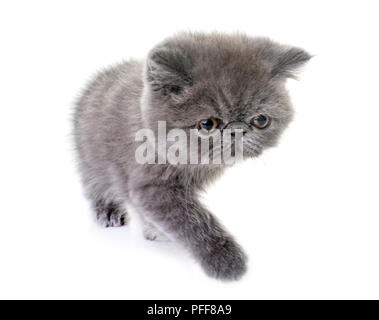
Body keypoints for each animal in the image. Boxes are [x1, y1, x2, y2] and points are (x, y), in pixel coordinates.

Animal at [72, 31, 310, 280]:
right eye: (208, 124)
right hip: (90, 158)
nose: (237, 129)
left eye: (261, 120)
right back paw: (108, 211)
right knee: (96, 184)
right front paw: (226, 261)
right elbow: (191, 220)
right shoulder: (150, 184)